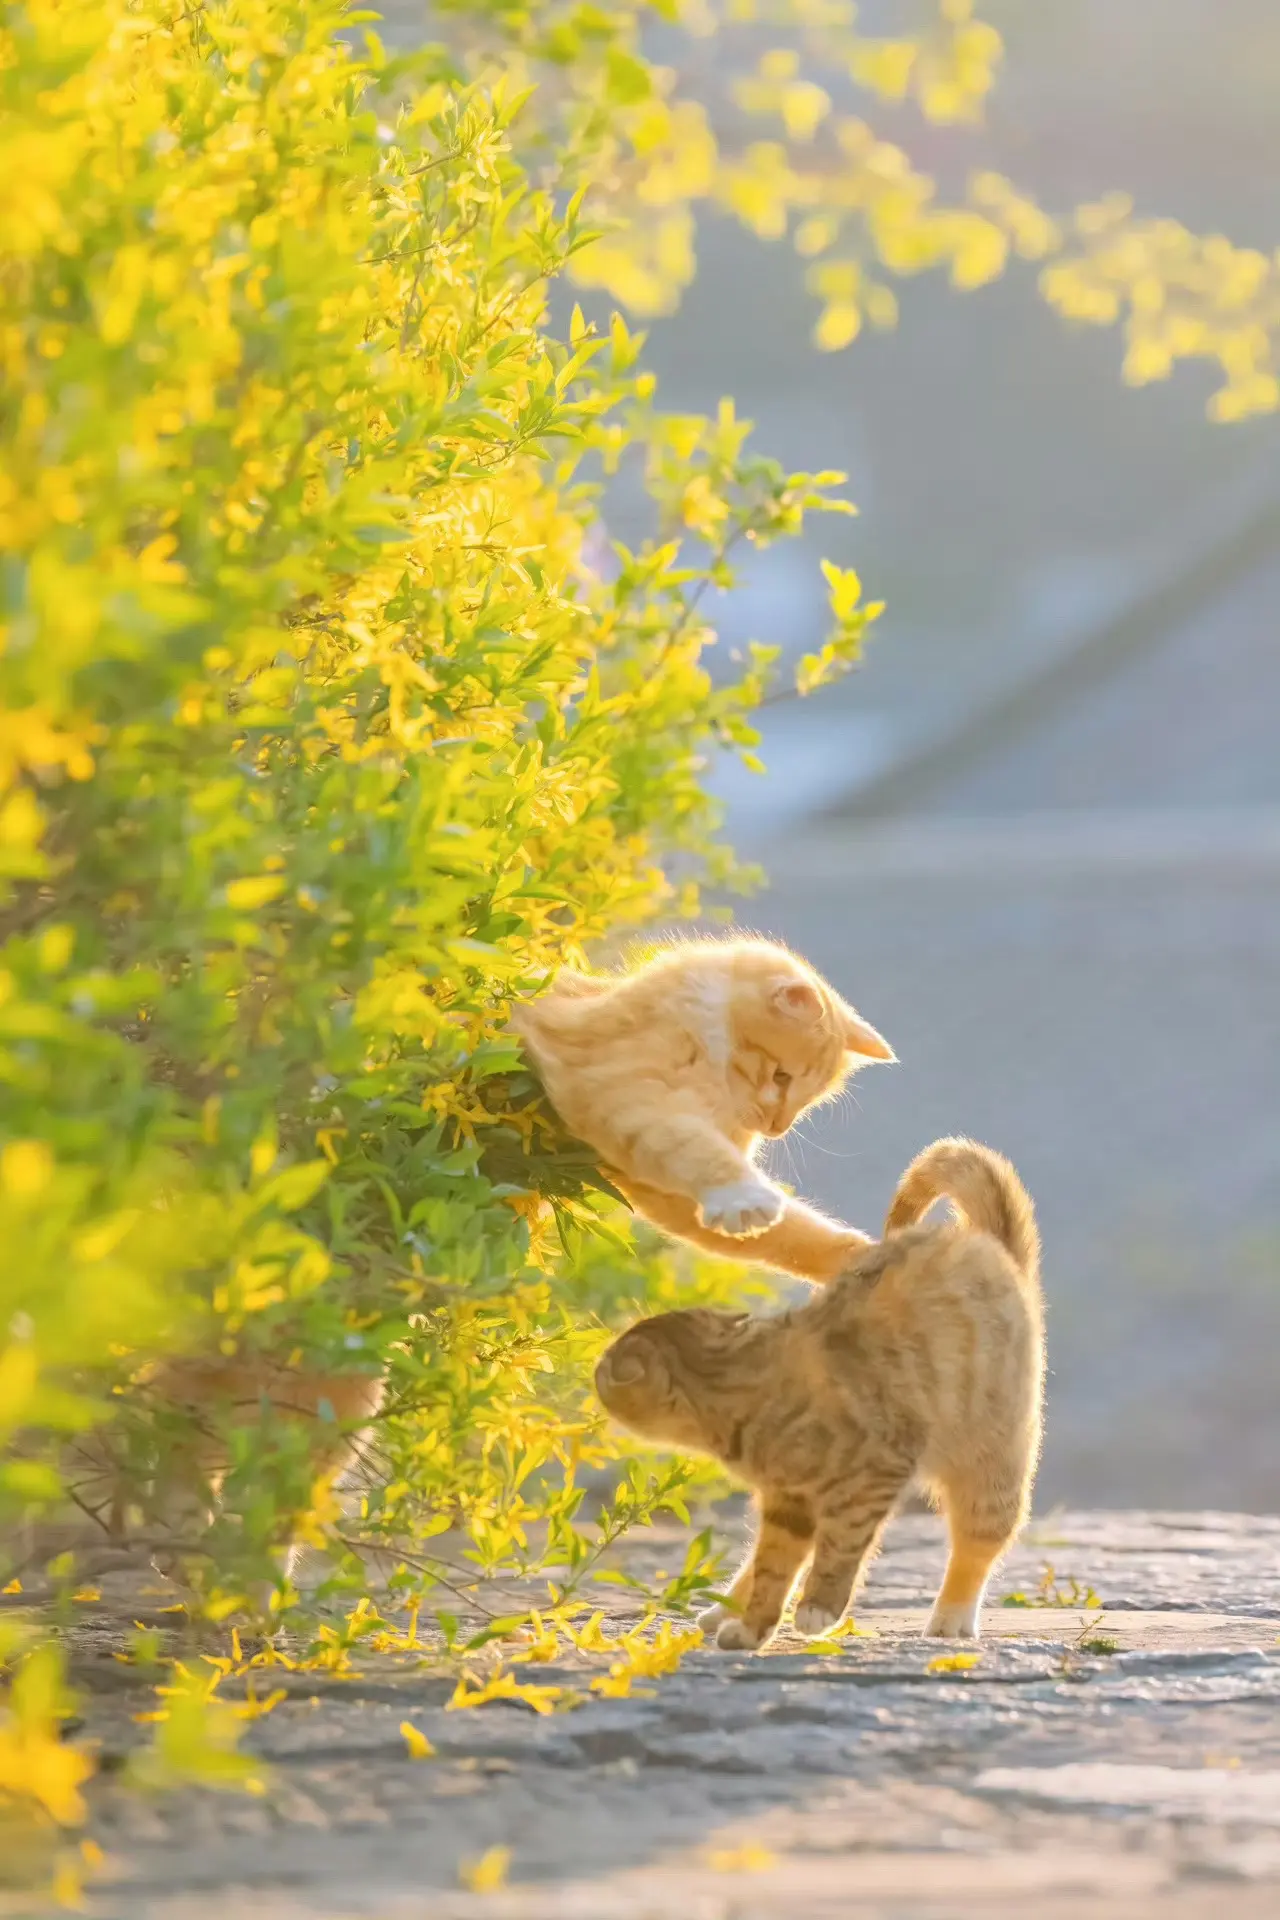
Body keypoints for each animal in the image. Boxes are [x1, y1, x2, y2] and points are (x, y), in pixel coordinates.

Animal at [510, 936, 890, 1282]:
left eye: (806, 1101)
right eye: (781, 1076)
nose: (777, 1127)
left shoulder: (663, 1190)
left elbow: (789, 1234)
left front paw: (858, 1257)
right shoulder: (624, 1094)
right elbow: (699, 1149)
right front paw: (744, 1199)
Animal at [594, 1136, 1043, 1651]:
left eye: (606, 1370)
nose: (594, 1368)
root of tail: (988, 1244)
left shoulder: (872, 1475)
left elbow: (838, 1548)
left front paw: (817, 1609)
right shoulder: (788, 1501)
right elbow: (775, 1565)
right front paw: (752, 1627)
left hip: (990, 1461)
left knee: (980, 1542)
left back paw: (952, 1616)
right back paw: (723, 1612)